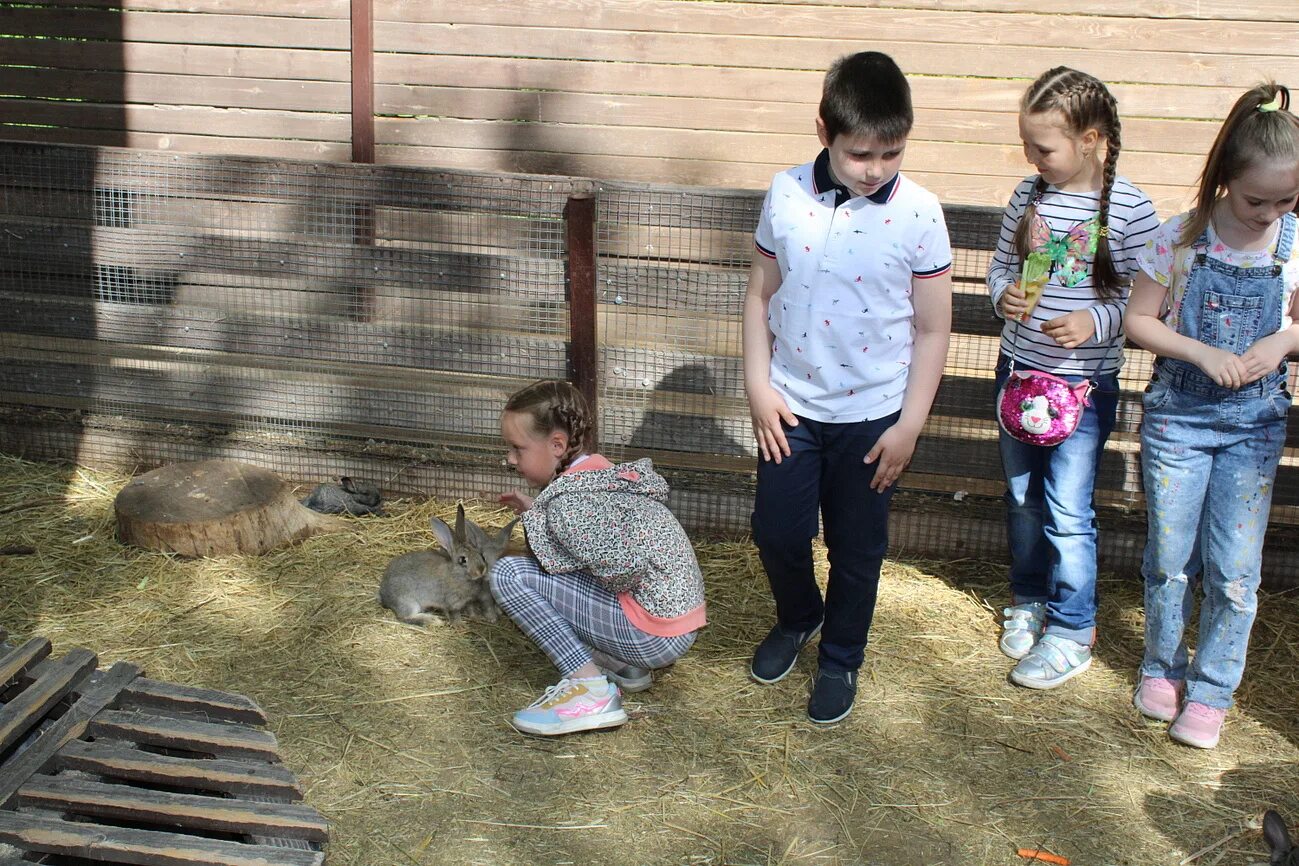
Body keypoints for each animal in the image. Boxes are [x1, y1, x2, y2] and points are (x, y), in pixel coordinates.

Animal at [379, 503, 514, 625]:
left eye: (479, 554)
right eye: (462, 560)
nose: (481, 569)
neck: (457, 575)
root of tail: (383, 594)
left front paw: (475, 617)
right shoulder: (452, 602)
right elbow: (454, 613)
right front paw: (459, 625)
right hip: (409, 603)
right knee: (405, 617)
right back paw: (433, 620)